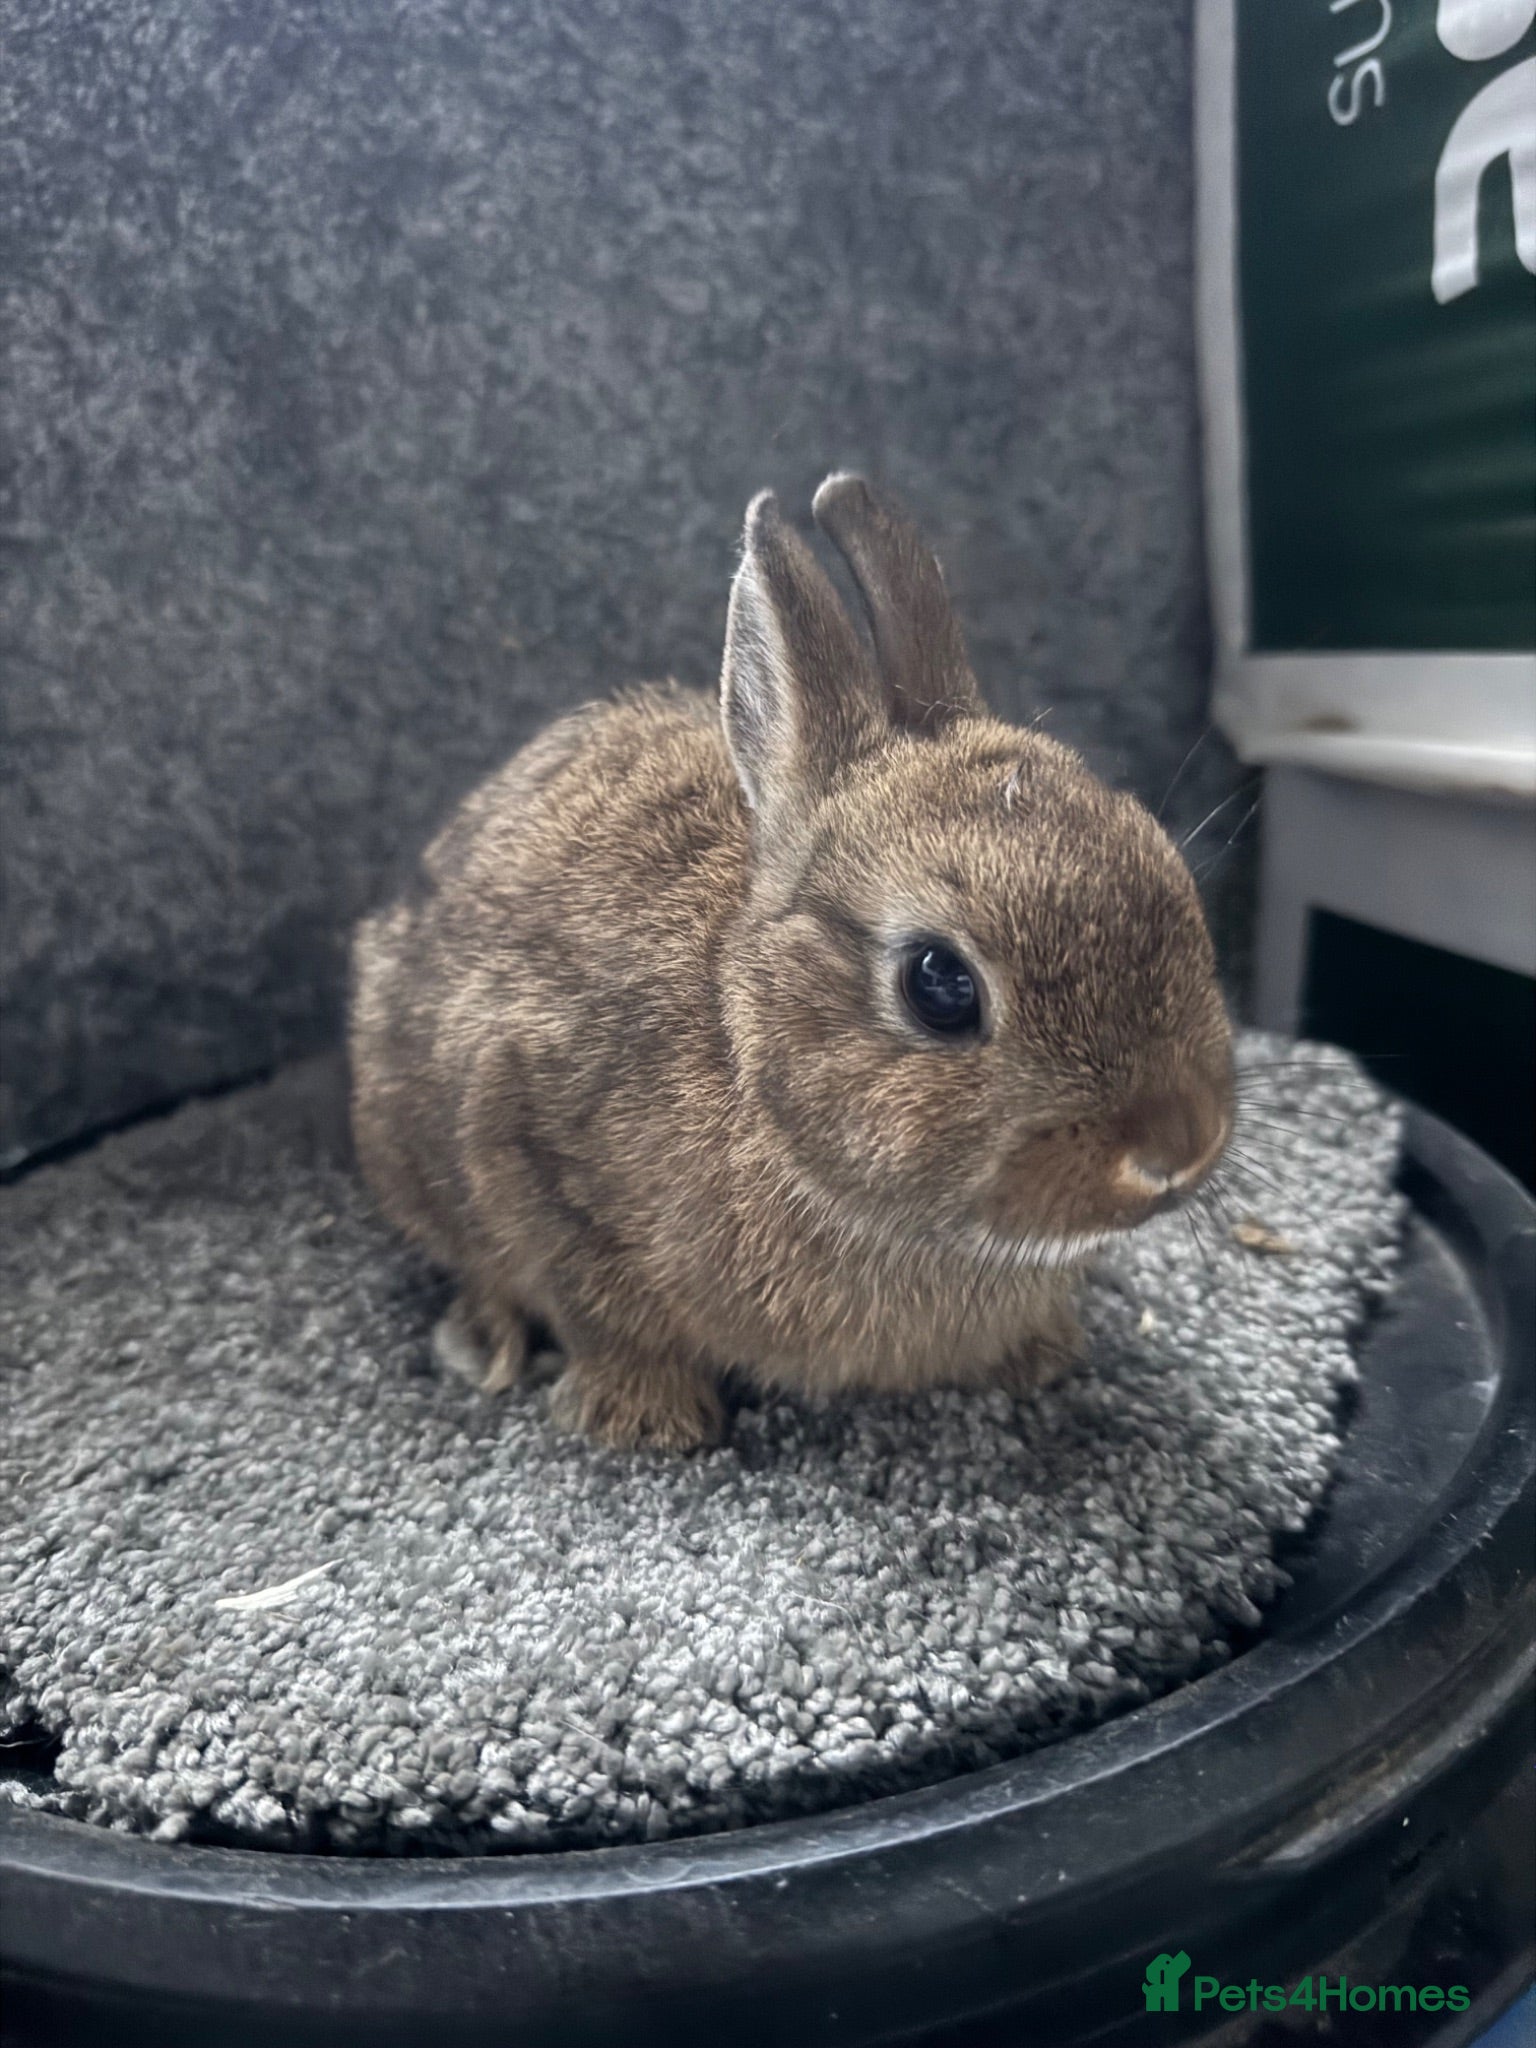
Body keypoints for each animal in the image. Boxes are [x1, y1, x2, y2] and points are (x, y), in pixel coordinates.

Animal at [349, 475, 1234, 1450]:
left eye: (1166, 865)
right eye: (939, 984)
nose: (1179, 1147)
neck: (747, 1051)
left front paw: (1039, 1354)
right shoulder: (519, 1120)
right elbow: (596, 1306)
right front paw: (645, 1418)